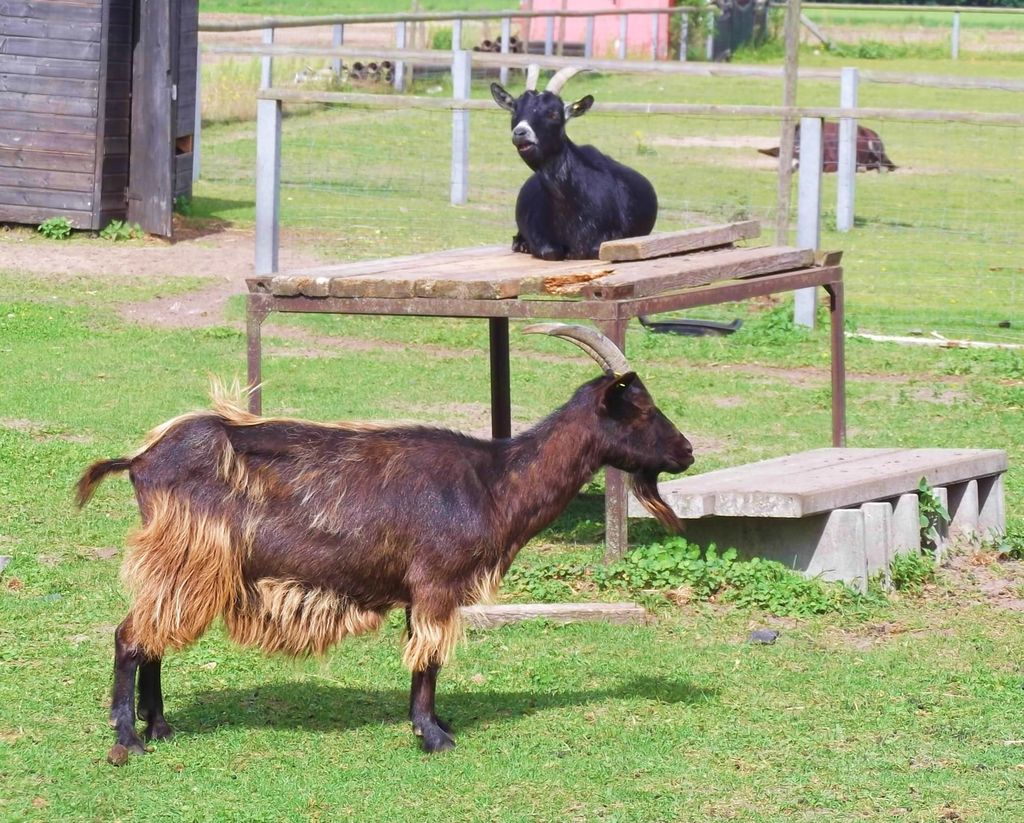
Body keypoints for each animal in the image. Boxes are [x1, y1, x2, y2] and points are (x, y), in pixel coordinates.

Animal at [75, 325, 692, 761]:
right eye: (639, 408)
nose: (686, 451)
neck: (492, 480)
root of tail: (141, 459)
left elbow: (425, 658)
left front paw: (436, 725)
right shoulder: (435, 583)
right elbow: (430, 659)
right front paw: (433, 736)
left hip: (185, 565)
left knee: (152, 636)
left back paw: (161, 726)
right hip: (189, 556)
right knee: (130, 636)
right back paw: (129, 737)